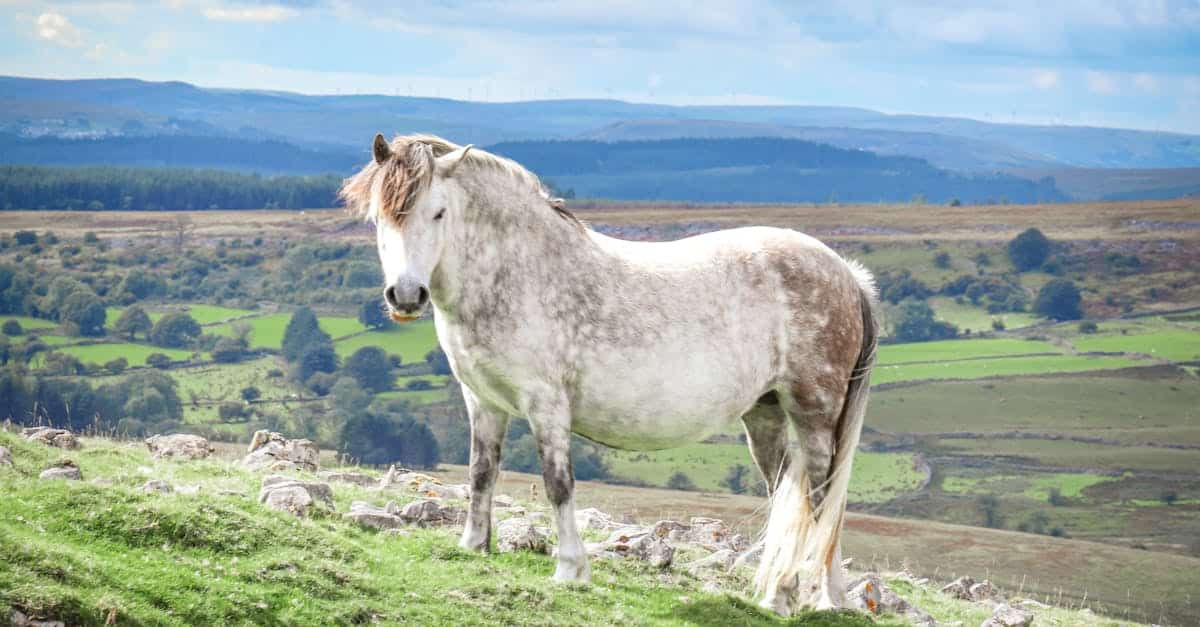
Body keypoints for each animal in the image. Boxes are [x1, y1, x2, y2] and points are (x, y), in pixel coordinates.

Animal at [340, 133, 879, 615]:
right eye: (380, 217)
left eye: (439, 212)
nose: (405, 296)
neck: (517, 273)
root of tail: (848, 275)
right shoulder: (484, 402)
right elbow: (480, 473)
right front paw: (473, 546)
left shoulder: (546, 405)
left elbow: (558, 484)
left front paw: (570, 569)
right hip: (763, 414)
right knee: (793, 495)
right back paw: (805, 596)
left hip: (814, 412)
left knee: (820, 497)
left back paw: (804, 596)